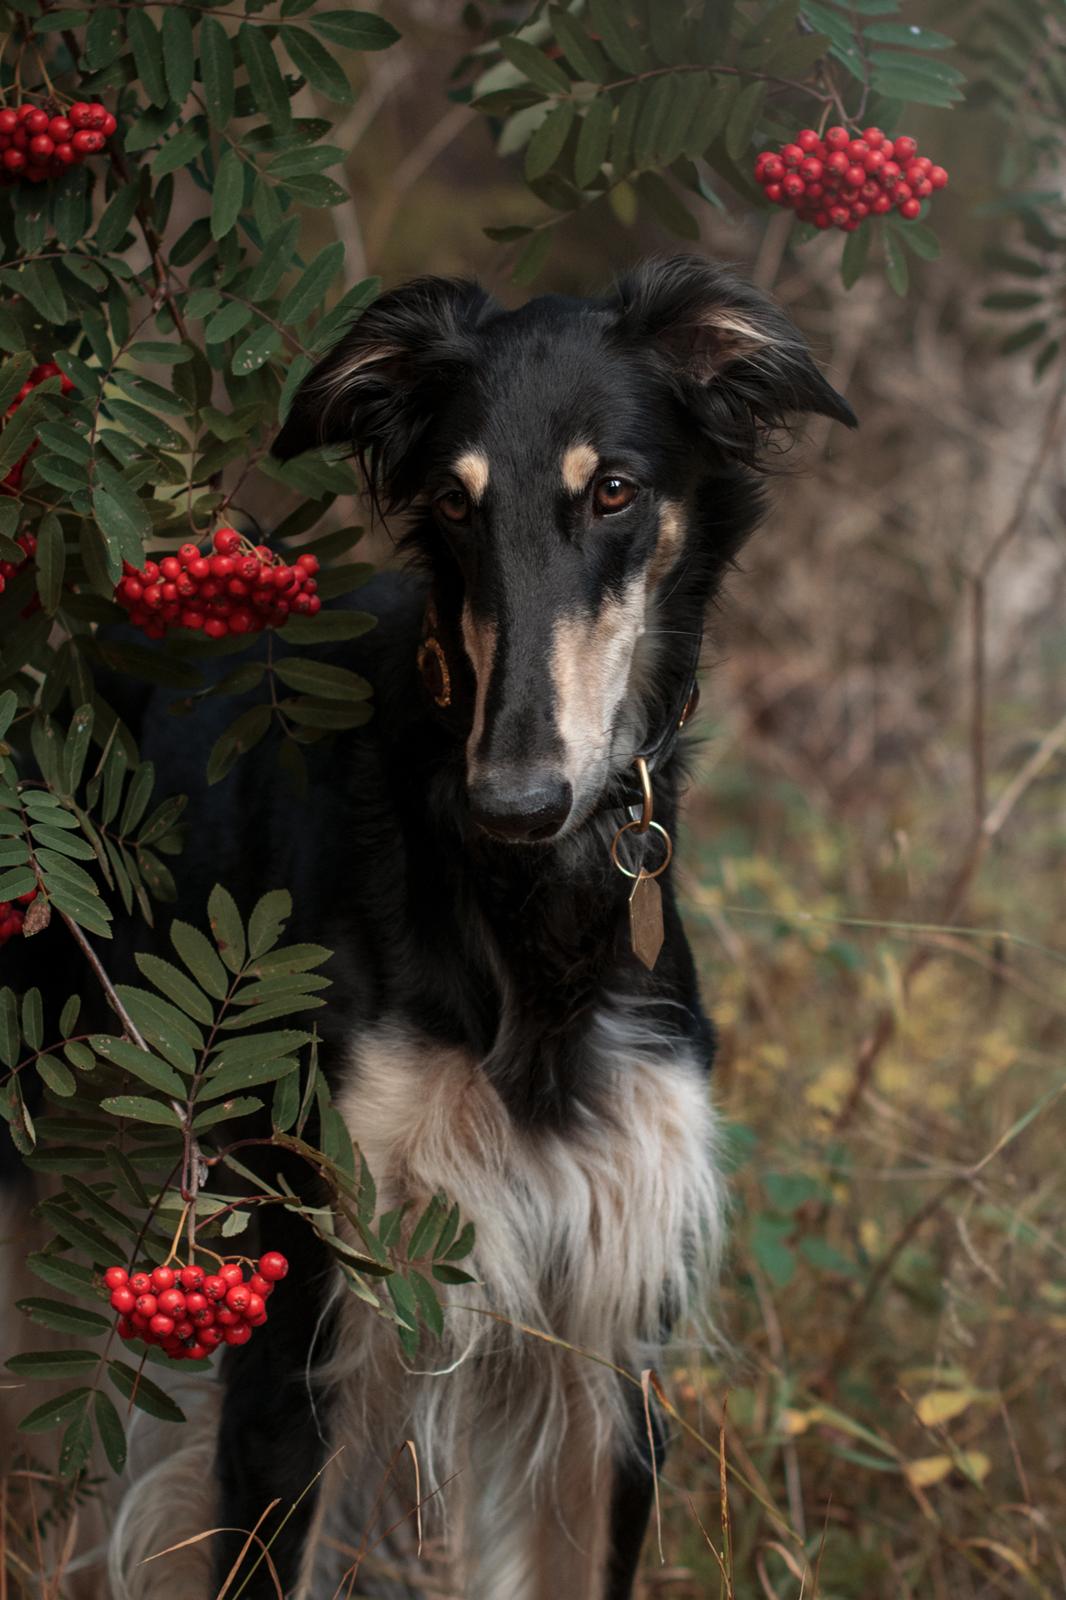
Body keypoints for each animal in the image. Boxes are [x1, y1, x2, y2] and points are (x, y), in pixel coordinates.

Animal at [0, 256, 851, 1593]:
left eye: (613, 489)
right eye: (455, 504)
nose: (517, 801)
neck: (532, 921)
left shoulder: (605, 1356)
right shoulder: (297, 1340)